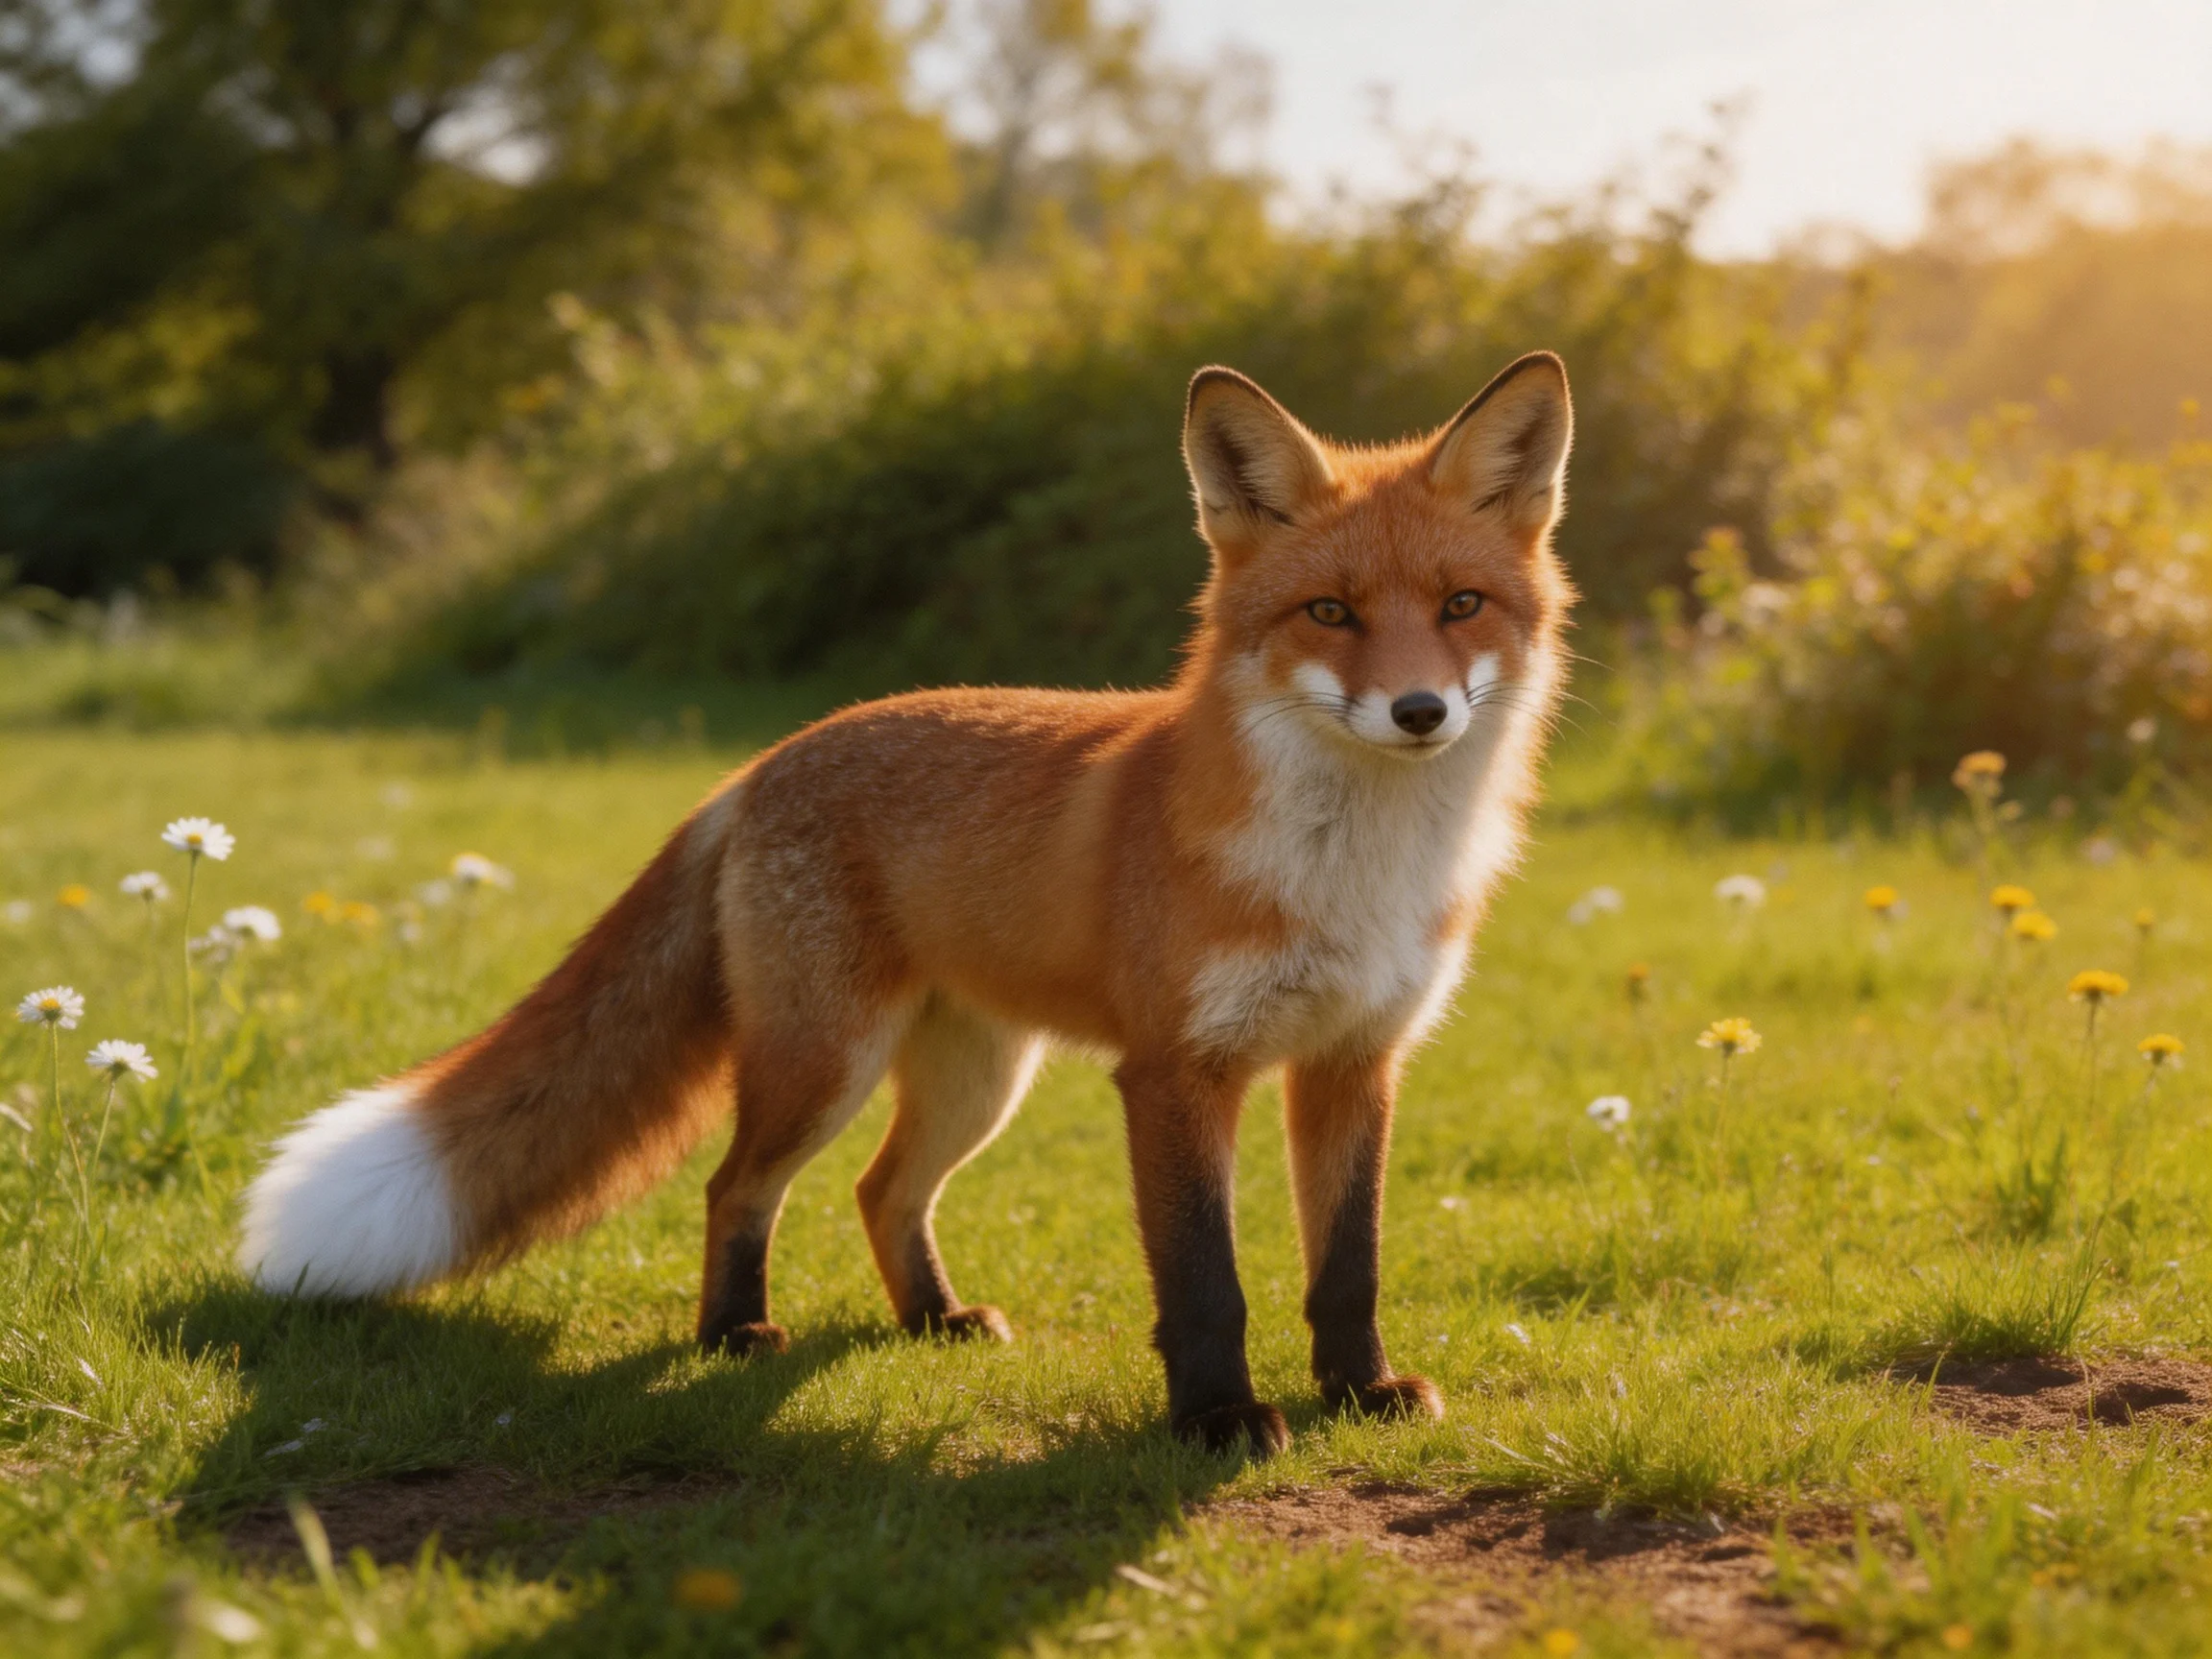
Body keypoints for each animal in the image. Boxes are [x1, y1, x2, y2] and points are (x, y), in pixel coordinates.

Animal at [238, 351, 1574, 1457]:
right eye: (1330, 613)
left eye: (1460, 606)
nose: (1419, 712)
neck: (1355, 870)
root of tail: (762, 763)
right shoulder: (1175, 1073)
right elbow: (1206, 1280)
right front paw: (1215, 1420)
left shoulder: (1355, 1060)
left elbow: (1348, 1265)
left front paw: (1360, 1392)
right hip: (824, 1063)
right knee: (738, 1185)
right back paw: (734, 1335)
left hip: (979, 1079)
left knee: (881, 1191)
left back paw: (930, 1319)